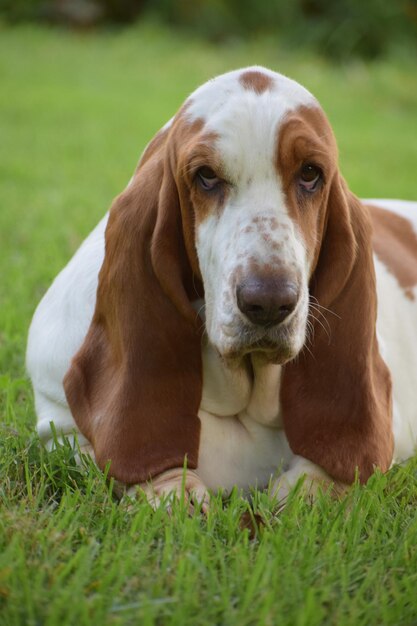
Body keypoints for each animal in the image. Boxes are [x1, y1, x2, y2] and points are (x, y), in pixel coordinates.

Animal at [26, 67, 416, 508]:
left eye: (310, 174)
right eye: (206, 176)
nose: (269, 303)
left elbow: (323, 477)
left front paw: (294, 494)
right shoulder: (57, 426)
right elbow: (114, 458)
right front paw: (175, 494)